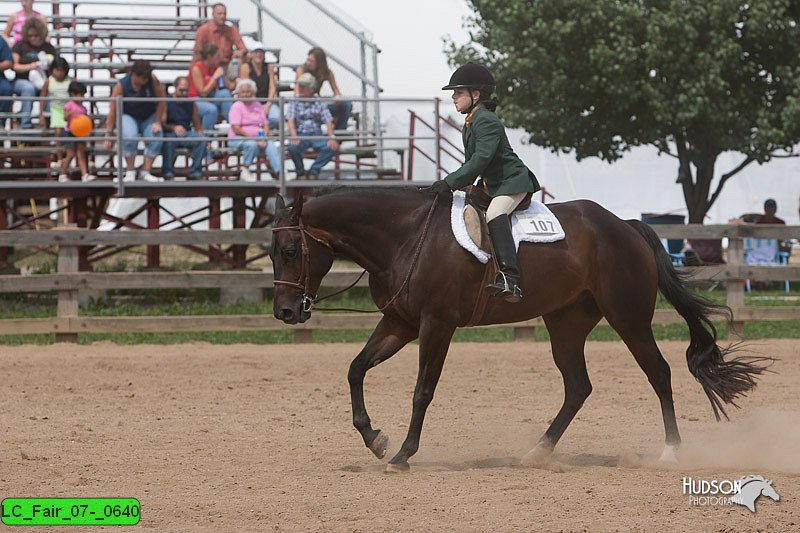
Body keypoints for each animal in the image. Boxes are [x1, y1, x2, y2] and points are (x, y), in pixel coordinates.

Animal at [270, 187, 768, 470]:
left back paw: (670, 452)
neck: (404, 236)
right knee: (578, 386)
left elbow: (422, 390)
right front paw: (375, 439)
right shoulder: (401, 322)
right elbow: (355, 369)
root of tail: (624, 227)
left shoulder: (436, 325)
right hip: (566, 324)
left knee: (658, 374)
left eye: (292, 250)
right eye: (273, 252)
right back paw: (538, 452)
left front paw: (403, 454)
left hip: (627, 317)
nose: (286, 313)